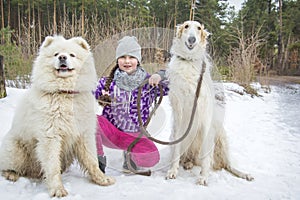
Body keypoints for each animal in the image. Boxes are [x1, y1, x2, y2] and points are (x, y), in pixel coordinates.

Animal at [0, 35, 115, 196]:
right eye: (56, 54)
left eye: (72, 55)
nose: (62, 57)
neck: (65, 93)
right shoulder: (50, 136)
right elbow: (52, 165)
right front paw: (58, 189)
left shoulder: (84, 134)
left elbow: (91, 160)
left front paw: (102, 179)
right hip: (16, 151)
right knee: (9, 167)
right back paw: (11, 174)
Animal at [165, 21, 254, 185]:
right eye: (186, 26)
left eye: (199, 28)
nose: (192, 39)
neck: (189, 60)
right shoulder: (179, 113)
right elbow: (176, 153)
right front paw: (173, 171)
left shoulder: (205, 114)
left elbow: (206, 159)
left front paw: (204, 176)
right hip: (176, 135)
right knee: (187, 157)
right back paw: (186, 163)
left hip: (220, 135)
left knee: (227, 164)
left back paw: (244, 174)